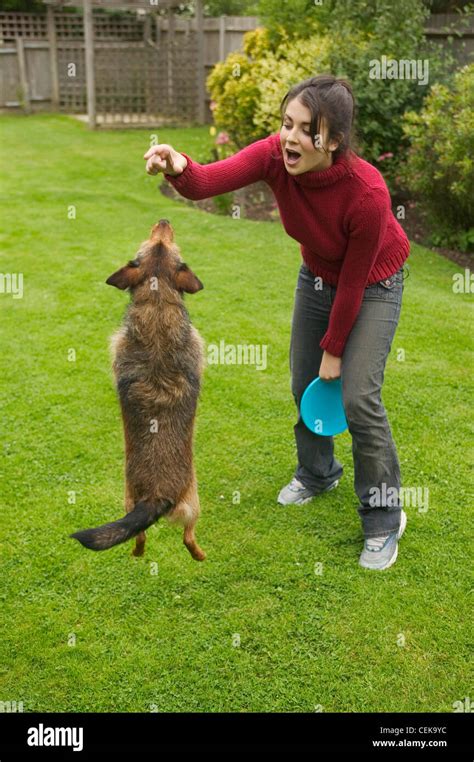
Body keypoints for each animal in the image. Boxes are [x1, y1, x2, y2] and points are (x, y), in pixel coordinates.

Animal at [70, 220, 206, 560]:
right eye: (161, 241)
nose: (164, 220)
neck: (157, 299)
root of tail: (156, 496)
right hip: (194, 502)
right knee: (188, 536)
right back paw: (199, 555)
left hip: (128, 499)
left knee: (140, 536)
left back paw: (137, 553)